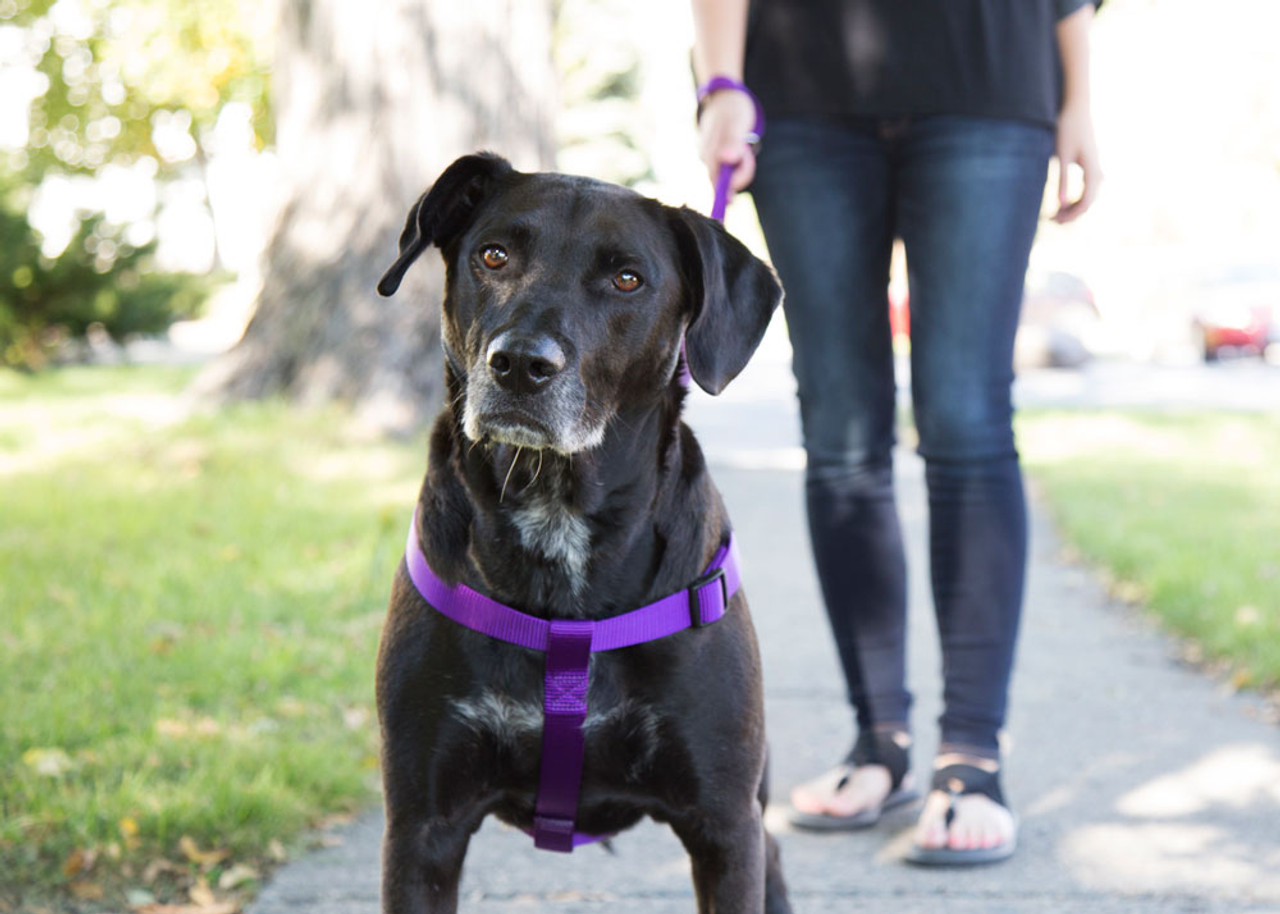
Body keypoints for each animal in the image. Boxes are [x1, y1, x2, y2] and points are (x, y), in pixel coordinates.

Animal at [373, 152, 788, 906]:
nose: (519, 364)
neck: (557, 512)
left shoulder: (725, 828)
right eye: (493, 255)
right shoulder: (420, 830)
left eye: (627, 278)